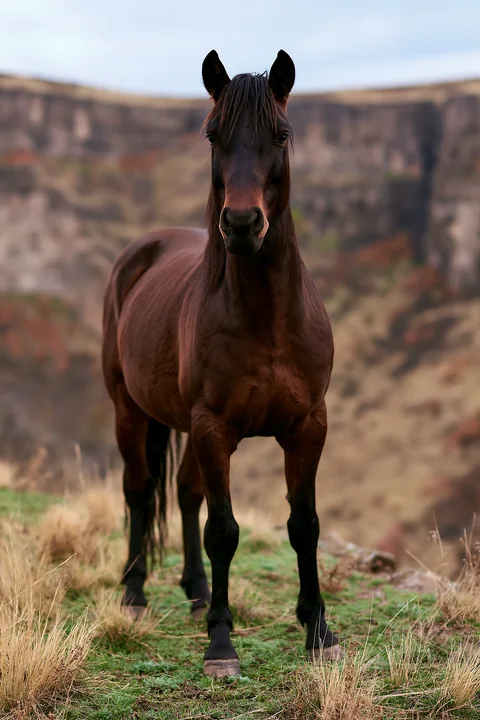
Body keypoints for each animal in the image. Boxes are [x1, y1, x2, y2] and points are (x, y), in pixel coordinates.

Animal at [102, 49, 341, 678]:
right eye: (213, 134)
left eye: (282, 133)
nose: (240, 224)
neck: (268, 320)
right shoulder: (214, 427)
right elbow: (225, 530)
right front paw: (221, 645)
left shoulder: (308, 426)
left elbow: (304, 525)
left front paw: (319, 631)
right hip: (130, 411)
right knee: (140, 491)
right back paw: (134, 593)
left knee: (185, 494)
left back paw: (197, 590)